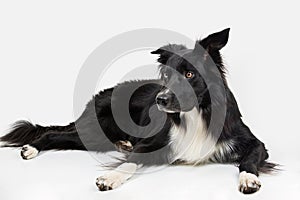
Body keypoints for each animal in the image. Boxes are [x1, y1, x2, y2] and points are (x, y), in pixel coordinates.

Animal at [0, 28, 276, 194]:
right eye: (166, 75)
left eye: (189, 74)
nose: (161, 100)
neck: (197, 114)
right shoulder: (153, 142)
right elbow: (131, 161)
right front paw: (110, 177)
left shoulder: (255, 143)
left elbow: (249, 159)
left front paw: (248, 178)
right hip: (94, 131)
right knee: (52, 134)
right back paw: (31, 148)